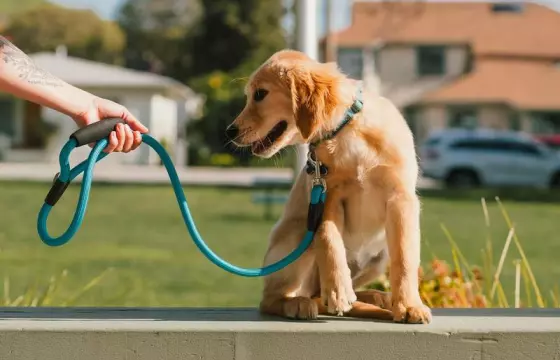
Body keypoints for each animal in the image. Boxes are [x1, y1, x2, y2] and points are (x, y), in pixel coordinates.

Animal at [225, 50, 430, 324]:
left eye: (260, 94)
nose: (230, 131)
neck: (346, 132)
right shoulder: (327, 196)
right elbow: (328, 238)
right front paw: (338, 290)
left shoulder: (401, 198)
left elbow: (405, 257)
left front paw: (408, 305)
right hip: (298, 233)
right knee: (273, 298)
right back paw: (300, 303)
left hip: (379, 256)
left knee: (327, 293)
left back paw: (376, 297)